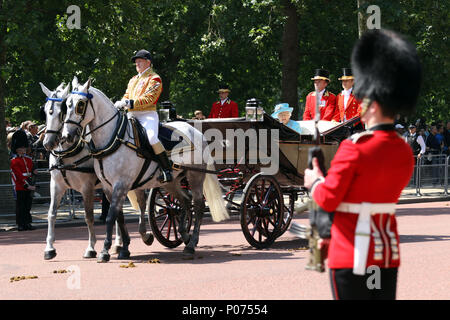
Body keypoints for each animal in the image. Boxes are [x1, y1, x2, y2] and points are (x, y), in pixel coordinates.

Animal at [60, 77, 229, 262]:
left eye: (80, 104)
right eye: (66, 104)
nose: (67, 136)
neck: (114, 139)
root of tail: (195, 131)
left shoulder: (121, 184)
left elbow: (111, 216)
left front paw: (105, 250)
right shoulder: (108, 187)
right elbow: (119, 216)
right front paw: (126, 247)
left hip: (195, 176)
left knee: (198, 205)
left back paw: (191, 244)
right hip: (171, 182)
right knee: (184, 201)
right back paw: (184, 236)